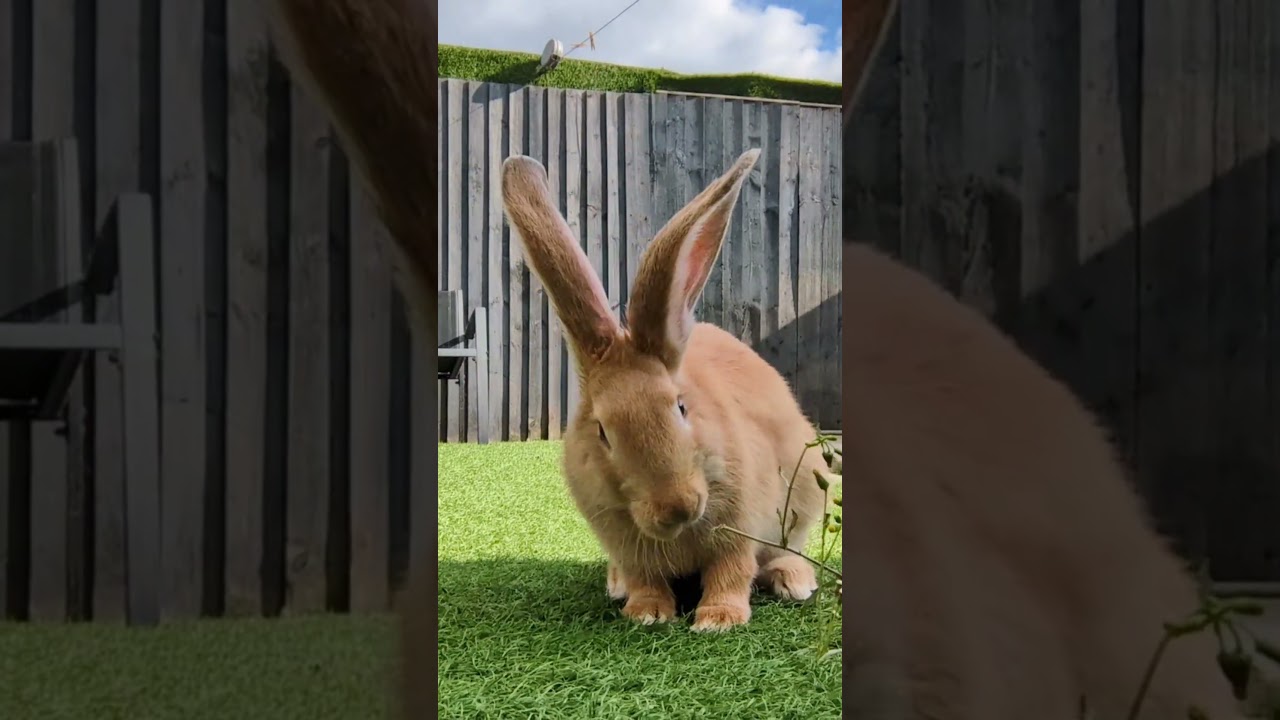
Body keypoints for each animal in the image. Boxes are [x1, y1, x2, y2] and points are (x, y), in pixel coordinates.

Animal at [500, 148, 829, 632]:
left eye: (680, 407)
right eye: (602, 432)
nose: (679, 506)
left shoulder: (738, 530)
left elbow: (732, 570)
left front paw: (718, 620)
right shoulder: (627, 544)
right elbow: (645, 577)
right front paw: (647, 613)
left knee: (789, 547)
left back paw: (794, 580)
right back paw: (617, 585)